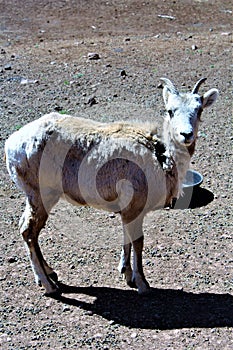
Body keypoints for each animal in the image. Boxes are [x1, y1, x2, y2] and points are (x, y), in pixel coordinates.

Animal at [4, 78, 218, 296]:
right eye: (170, 111)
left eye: (199, 110)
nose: (186, 135)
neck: (161, 154)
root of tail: (11, 143)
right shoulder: (135, 207)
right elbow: (138, 241)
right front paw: (142, 284)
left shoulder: (127, 209)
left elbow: (126, 237)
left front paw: (127, 274)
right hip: (40, 196)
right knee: (28, 230)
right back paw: (49, 286)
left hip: (37, 198)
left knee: (30, 230)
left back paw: (50, 275)